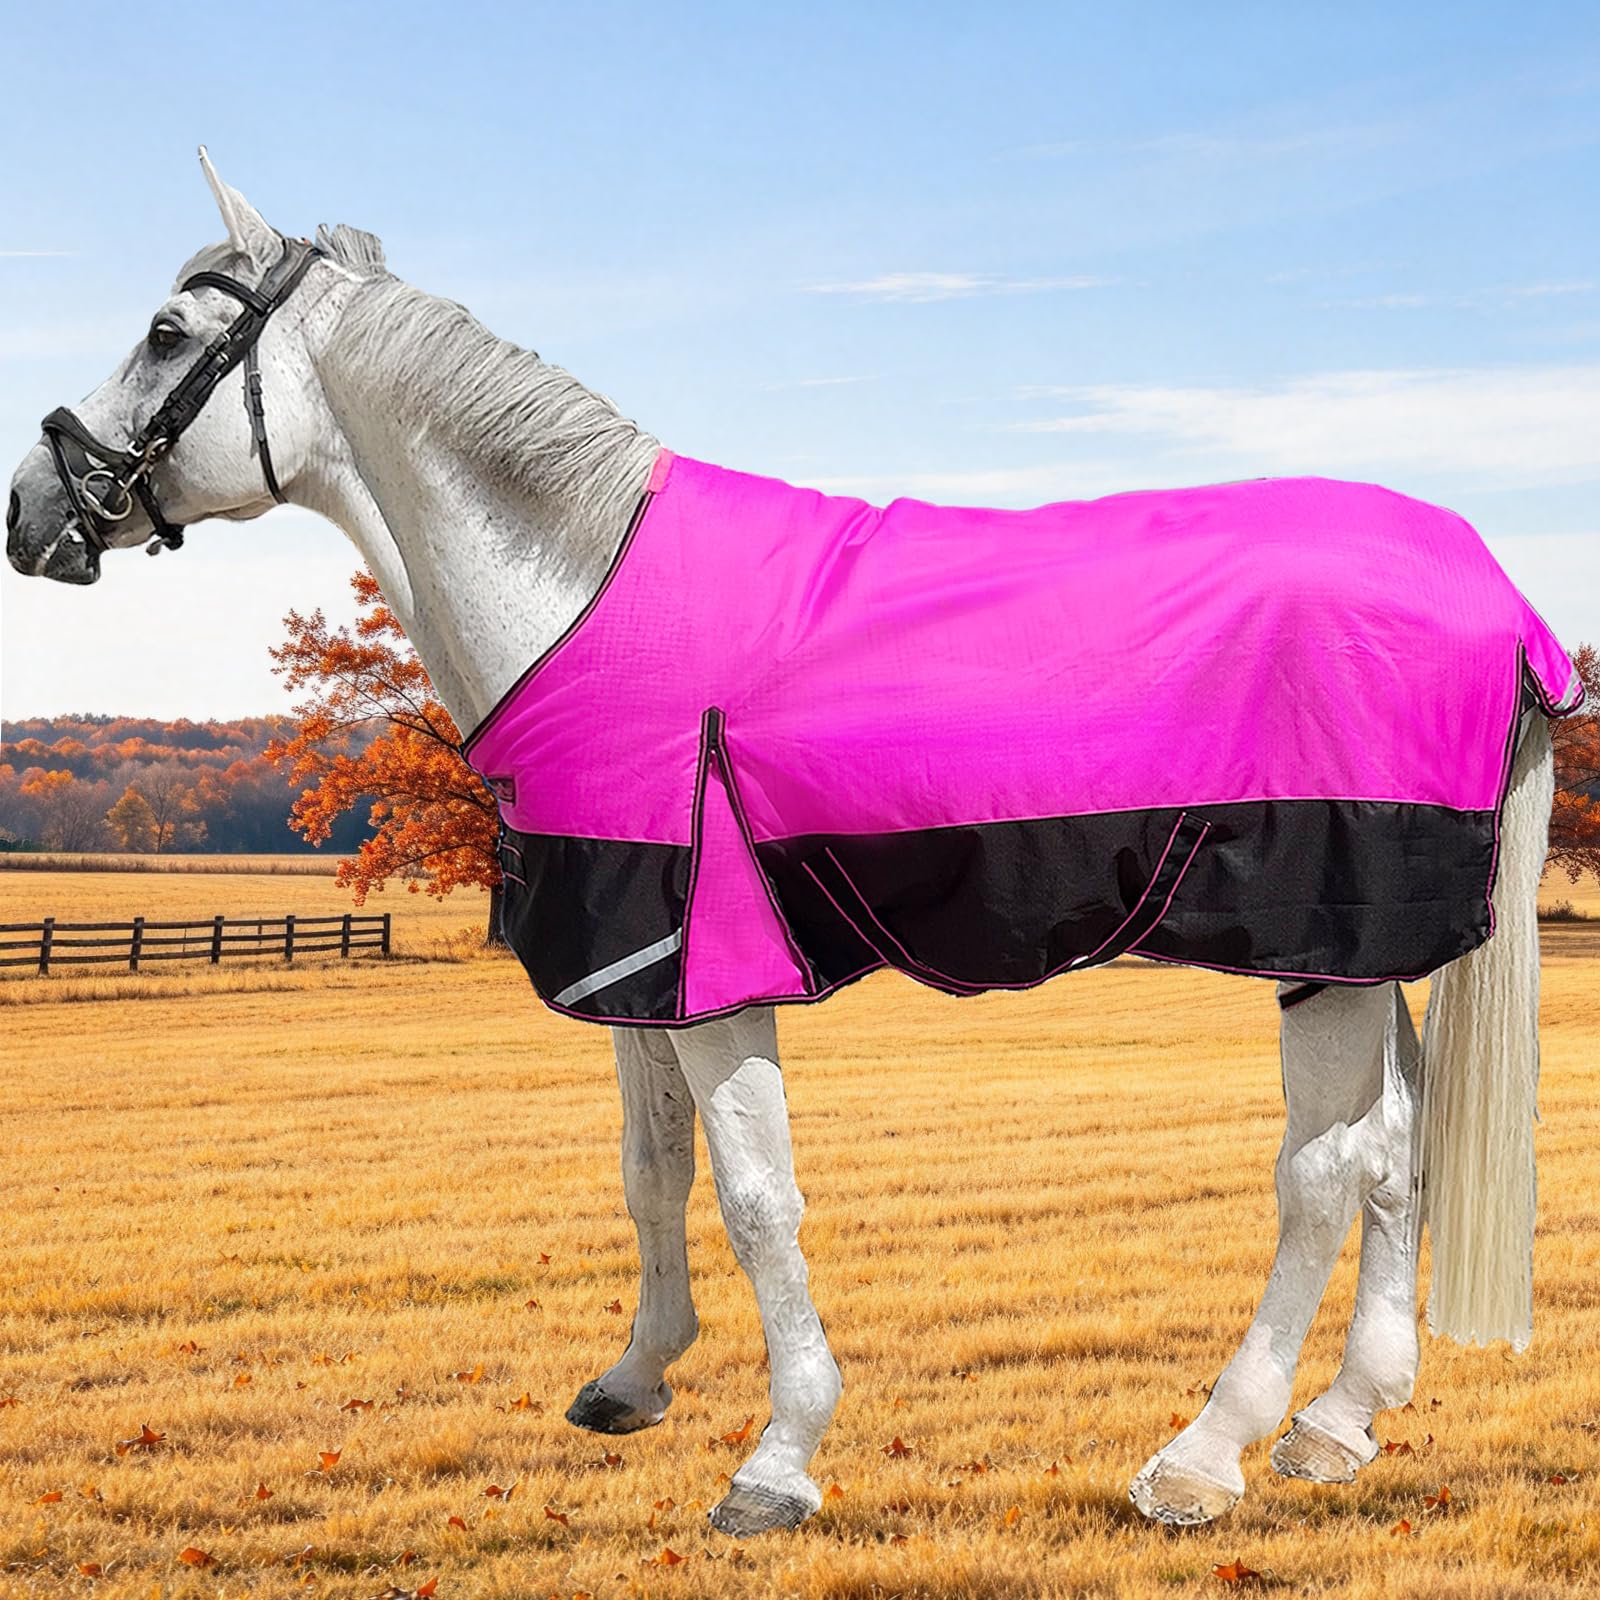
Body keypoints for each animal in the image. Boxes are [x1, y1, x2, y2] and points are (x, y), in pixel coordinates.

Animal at [5, 150, 1572, 1539]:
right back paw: (1339, 1425)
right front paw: (635, 1377)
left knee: (1320, 1178)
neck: (578, 587)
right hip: (1369, 957)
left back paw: (1202, 1455)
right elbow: (651, 1172)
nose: (31, 508)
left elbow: (759, 1198)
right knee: (1400, 1154)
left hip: (1323, 946)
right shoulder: (638, 960)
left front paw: (780, 1457)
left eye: (165, 334)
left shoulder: (711, 965)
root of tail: (1498, 599)